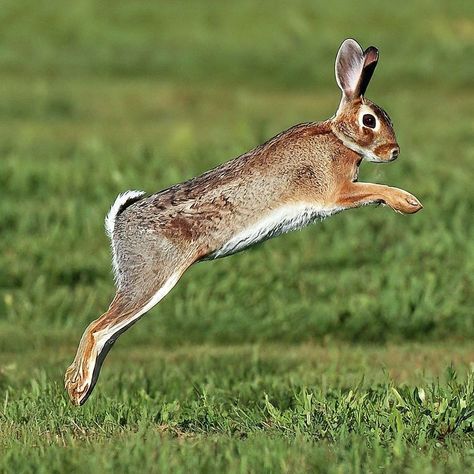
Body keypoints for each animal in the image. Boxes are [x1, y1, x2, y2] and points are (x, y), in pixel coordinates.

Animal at [65, 39, 422, 406]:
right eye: (370, 120)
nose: (394, 152)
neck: (338, 136)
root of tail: (120, 223)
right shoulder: (336, 191)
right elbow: (371, 190)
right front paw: (408, 202)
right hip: (152, 277)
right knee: (97, 328)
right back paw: (77, 389)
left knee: (109, 332)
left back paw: (81, 388)